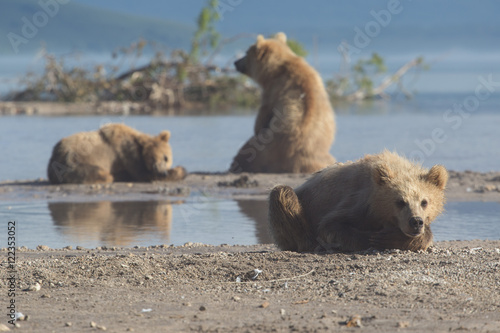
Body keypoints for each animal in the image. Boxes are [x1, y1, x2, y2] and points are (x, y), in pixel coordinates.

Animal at [47, 123, 186, 183]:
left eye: (166, 158)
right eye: (153, 158)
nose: (162, 172)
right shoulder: (126, 154)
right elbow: (143, 174)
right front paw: (181, 170)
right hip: (72, 162)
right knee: (101, 173)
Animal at [230, 32, 336, 172]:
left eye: (246, 52)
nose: (235, 62)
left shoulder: (273, 90)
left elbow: (263, 113)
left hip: (267, 150)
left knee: (248, 150)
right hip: (323, 157)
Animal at [270, 150, 450, 252]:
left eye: (424, 201)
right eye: (400, 202)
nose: (416, 222)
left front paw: (395, 238)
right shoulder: (359, 204)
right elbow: (331, 225)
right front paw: (376, 238)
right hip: (301, 203)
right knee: (281, 193)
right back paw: (314, 244)